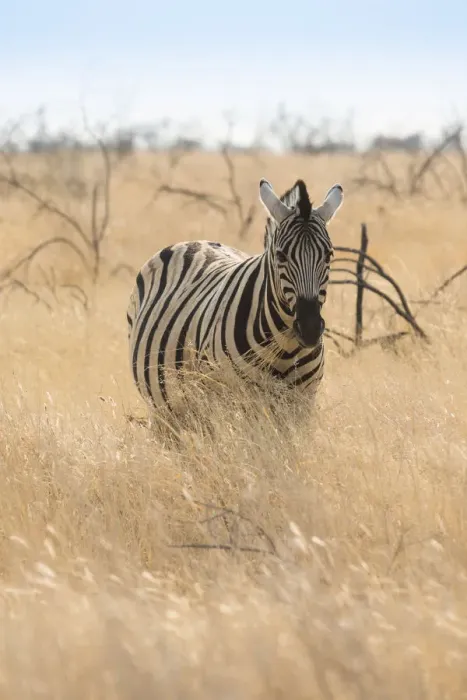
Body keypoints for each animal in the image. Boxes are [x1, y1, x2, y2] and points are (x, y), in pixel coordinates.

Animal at [127, 177, 344, 418]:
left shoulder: (302, 403)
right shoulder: (228, 401)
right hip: (166, 407)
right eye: (281, 256)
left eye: (329, 255)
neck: (284, 346)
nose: (310, 329)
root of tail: (194, 242)